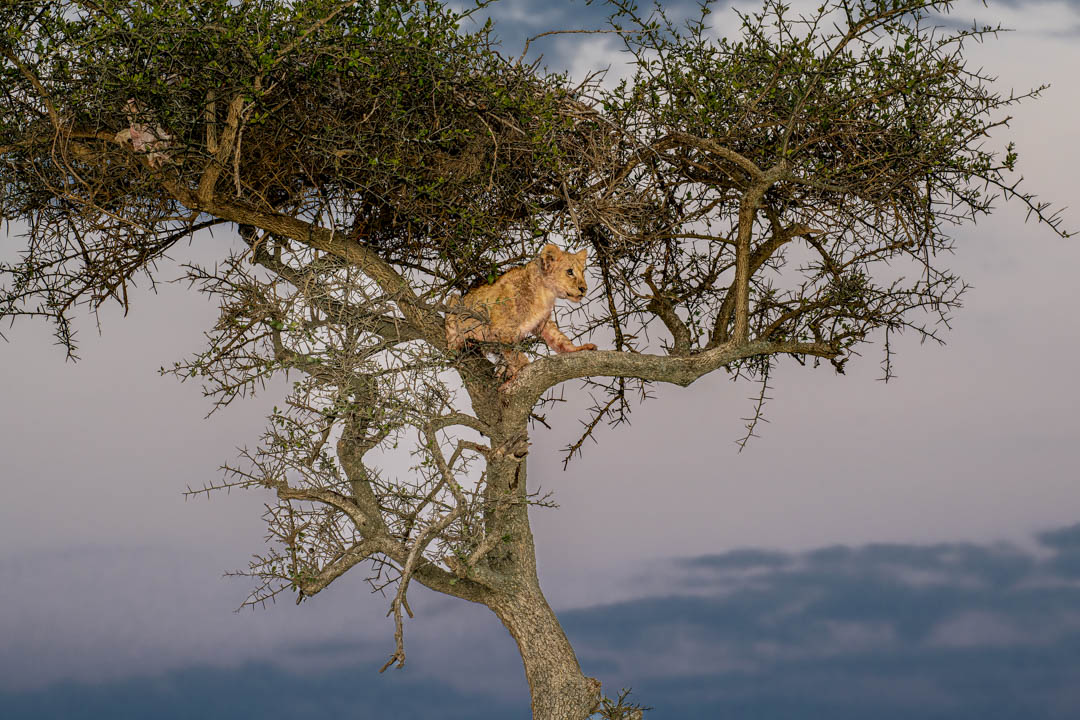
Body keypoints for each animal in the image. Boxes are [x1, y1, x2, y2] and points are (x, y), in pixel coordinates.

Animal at [445, 243, 598, 382]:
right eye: (570, 271)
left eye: (582, 272)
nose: (584, 289)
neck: (545, 293)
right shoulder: (501, 329)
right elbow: (515, 353)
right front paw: (523, 368)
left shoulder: (543, 322)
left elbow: (559, 338)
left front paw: (577, 349)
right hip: (454, 300)